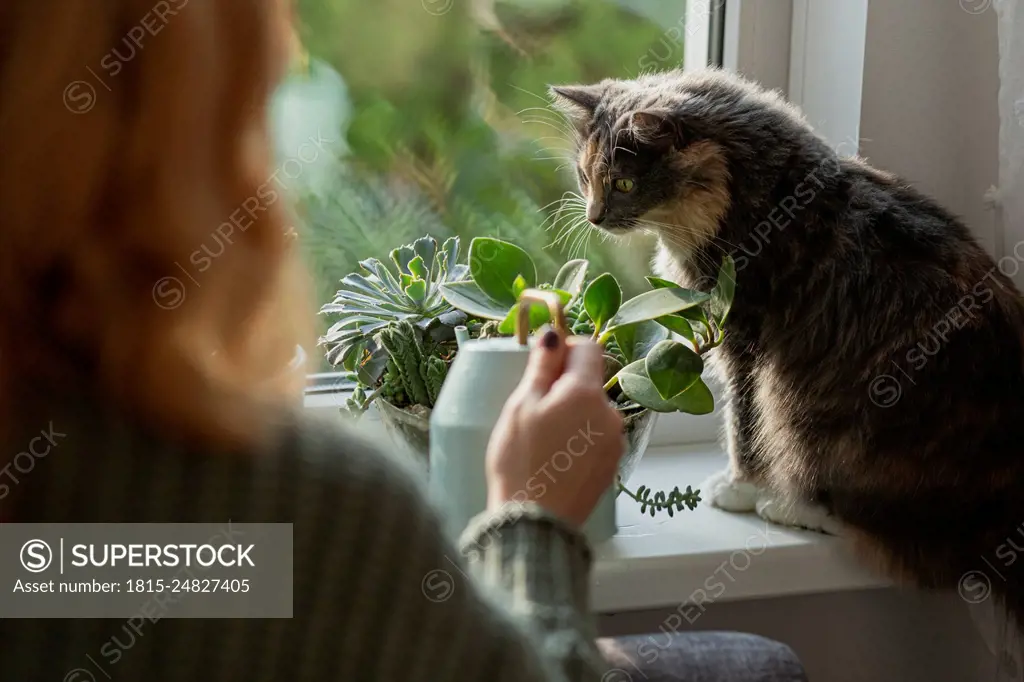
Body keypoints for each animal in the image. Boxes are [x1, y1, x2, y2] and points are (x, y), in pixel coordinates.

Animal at [552, 69, 1024, 626]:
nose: (594, 217)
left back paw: (785, 507)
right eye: (585, 176)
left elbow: (742, 426)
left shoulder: (743, 341)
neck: (762, 197)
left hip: (804, 406)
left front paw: (737, 488)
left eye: (623, 183)